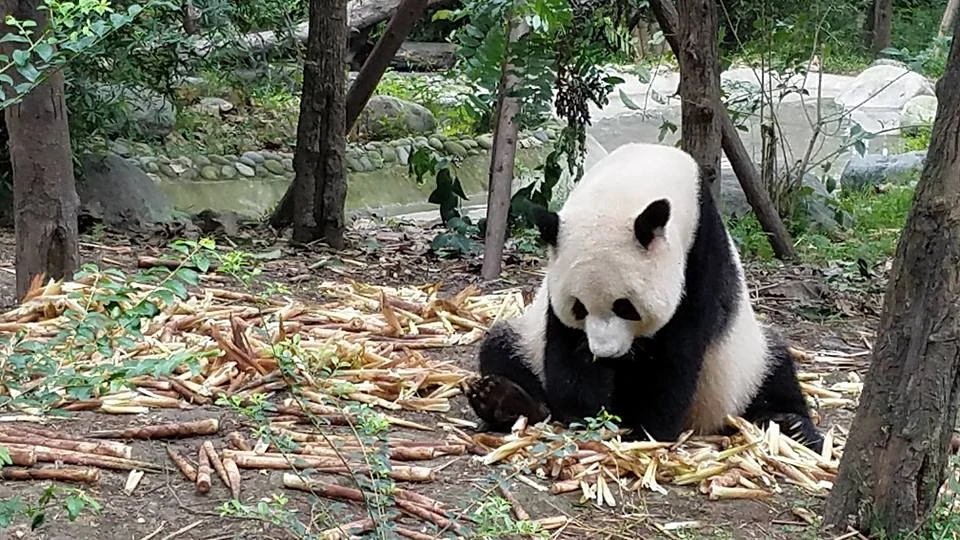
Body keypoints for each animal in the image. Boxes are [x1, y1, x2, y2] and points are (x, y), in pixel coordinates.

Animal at [462, 142, 820, 452]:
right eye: (579, 308)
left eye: (626, 307)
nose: (605, 353)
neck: (634, 174)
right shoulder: (556, 283)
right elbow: (566, 348)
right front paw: (586, 413)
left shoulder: (701, 255)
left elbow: (674, 352)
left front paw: (645, 429)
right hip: (526, 338)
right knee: (499, 346)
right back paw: (505, 400)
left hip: (742, 363)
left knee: (777, 369)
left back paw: (792, 426)